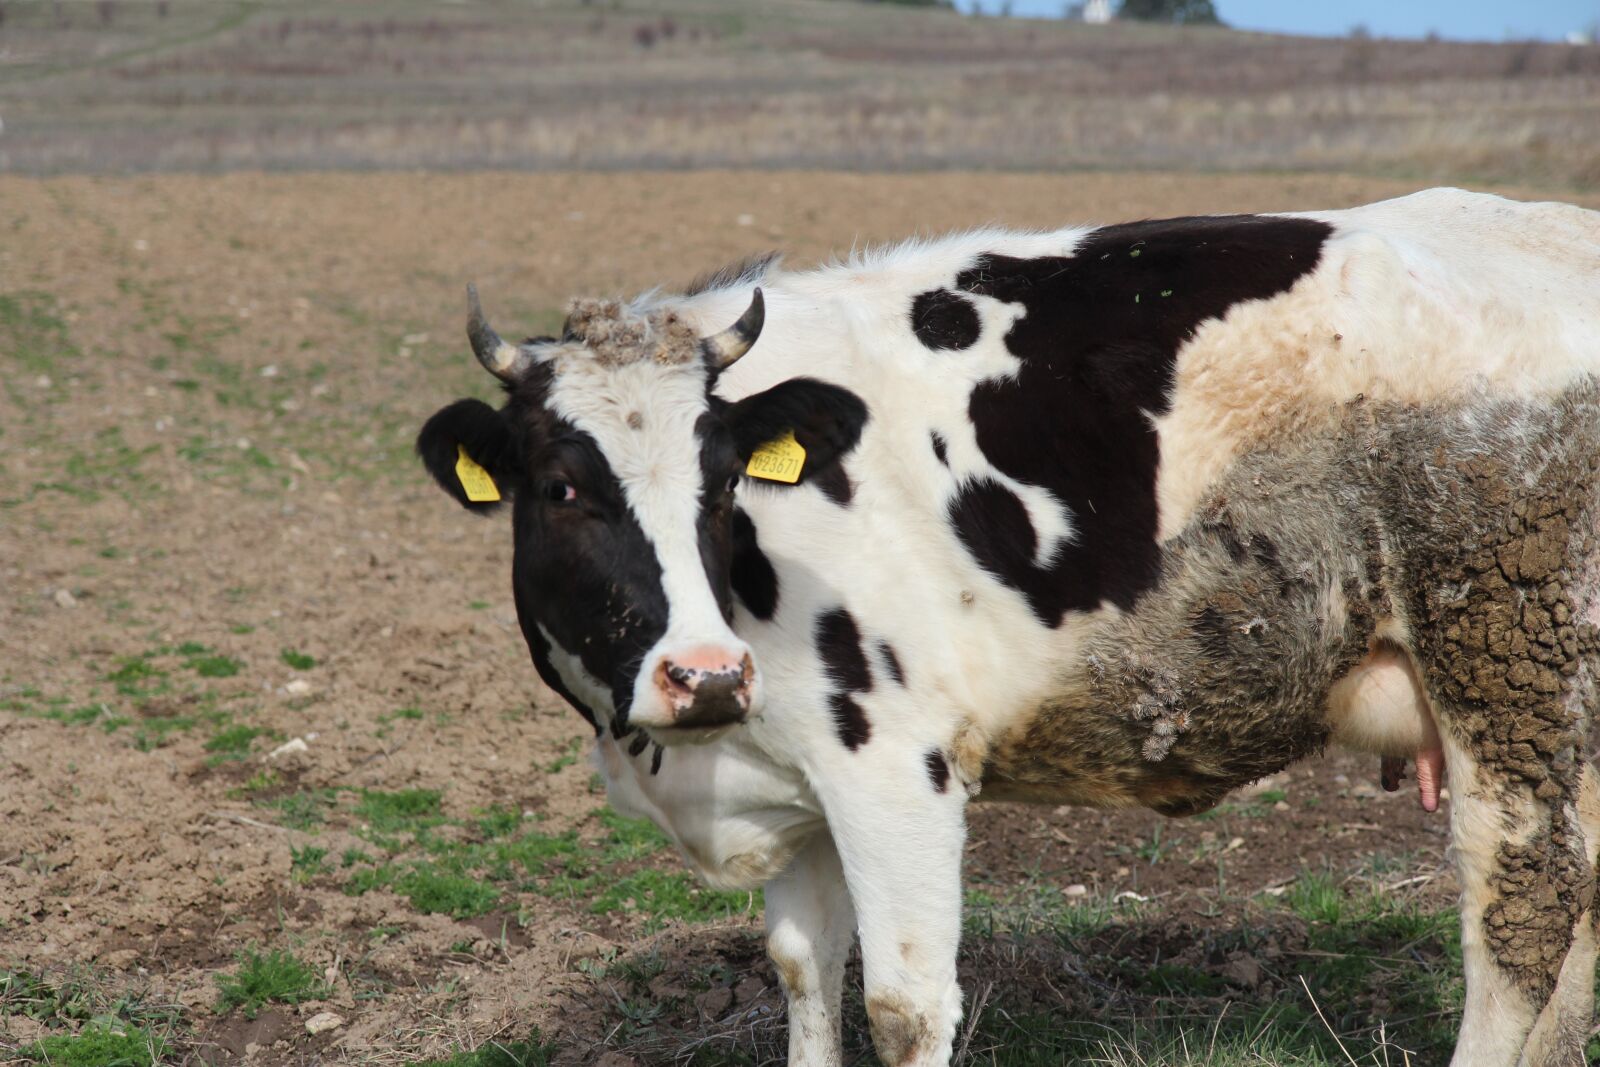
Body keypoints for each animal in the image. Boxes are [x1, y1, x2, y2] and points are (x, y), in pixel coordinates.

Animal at [416, 188, 1600, 1067]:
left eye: (723, 482)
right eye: (562, 488)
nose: (703, 675)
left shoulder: (896, 767)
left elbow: (902, 1008)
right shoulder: (800, 787)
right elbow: (806, 973)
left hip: (1506, 665)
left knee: (1519, 918)